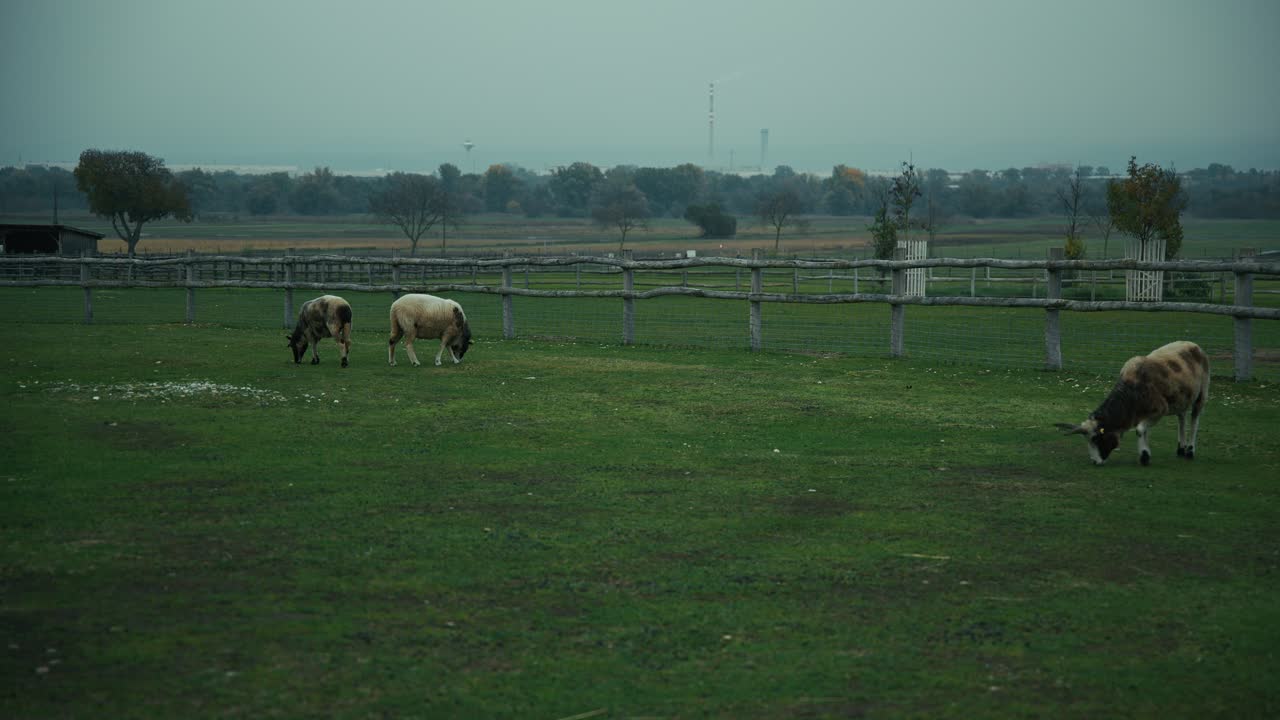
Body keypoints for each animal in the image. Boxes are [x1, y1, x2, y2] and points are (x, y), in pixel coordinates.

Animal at [1056, 340, 1210, 466]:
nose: (1095, 462)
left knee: (1194, 419)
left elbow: (1140, 430)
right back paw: (1181, 449)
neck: (1130, 391)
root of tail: (1194, 345)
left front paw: (1144, 457)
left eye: (1095, 439)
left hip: (1201, 394)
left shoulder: (1159, 410)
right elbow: (1144, 431)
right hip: (1182, 398)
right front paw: (1146, 453)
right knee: (1182, 418)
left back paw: (1190, 451)